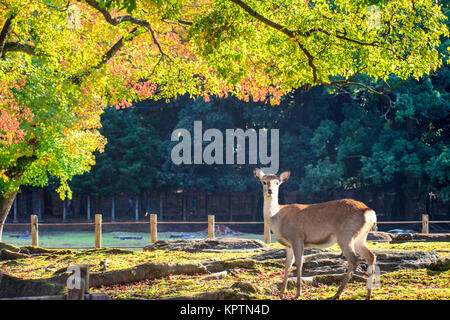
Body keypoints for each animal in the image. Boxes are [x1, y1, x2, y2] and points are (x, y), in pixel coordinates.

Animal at [253, 168, 376, 300]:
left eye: (277, 182)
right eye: (264, 182)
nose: (270, 191)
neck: (277, 219)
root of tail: (369, 212)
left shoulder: (297, 237)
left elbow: (299, 263)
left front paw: (297, 293)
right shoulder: (288, 244)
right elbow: (287, 265)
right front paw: (281, 293)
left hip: (346, 235)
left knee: (354, 260)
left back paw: (337, 294)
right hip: (360, 237)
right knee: (371, 256)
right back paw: (368, 294)